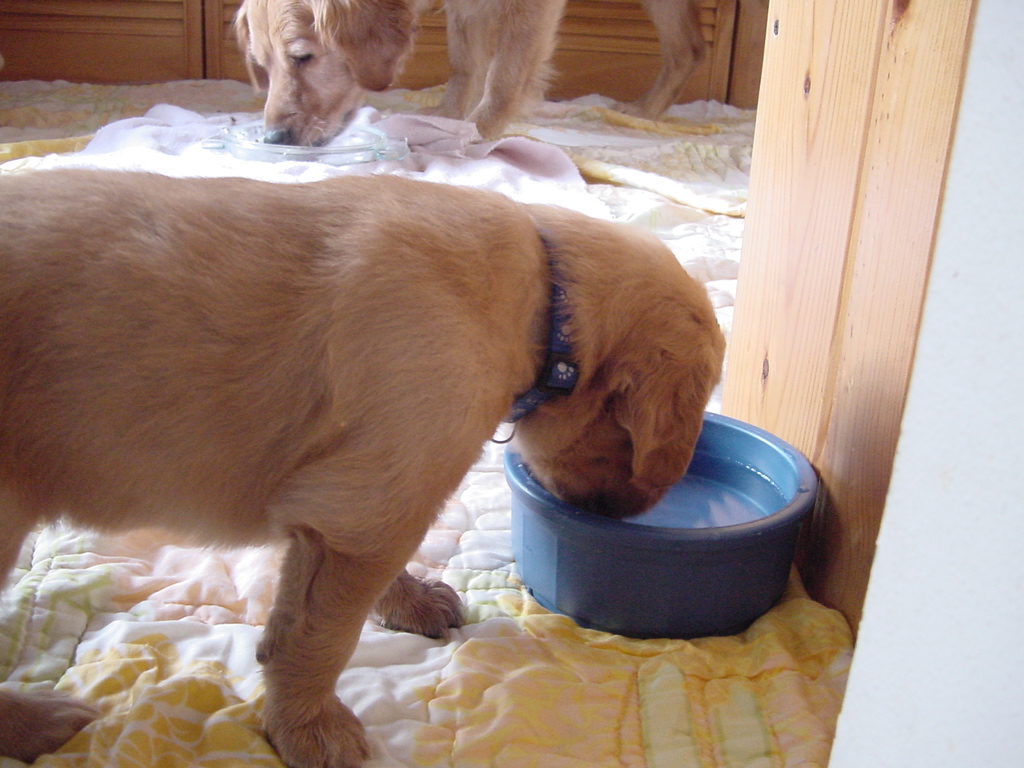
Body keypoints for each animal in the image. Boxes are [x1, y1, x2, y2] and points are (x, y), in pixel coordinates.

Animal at [0, 169, 724, 768]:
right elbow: (320, 637)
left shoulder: (360, 504)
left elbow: (348, 594)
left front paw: (409, 601)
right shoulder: (368, 507)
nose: (627, 514)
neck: (547, 296)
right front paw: (311, 728)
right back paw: (36, 722)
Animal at [234, 0, 708, 144]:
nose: (272, 139)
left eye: (303, 57)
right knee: (689, 50)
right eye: (263, 66)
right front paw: (444, 120)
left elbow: (502, 79)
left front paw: (476, 133)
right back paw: (646, 112)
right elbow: (465, 66)